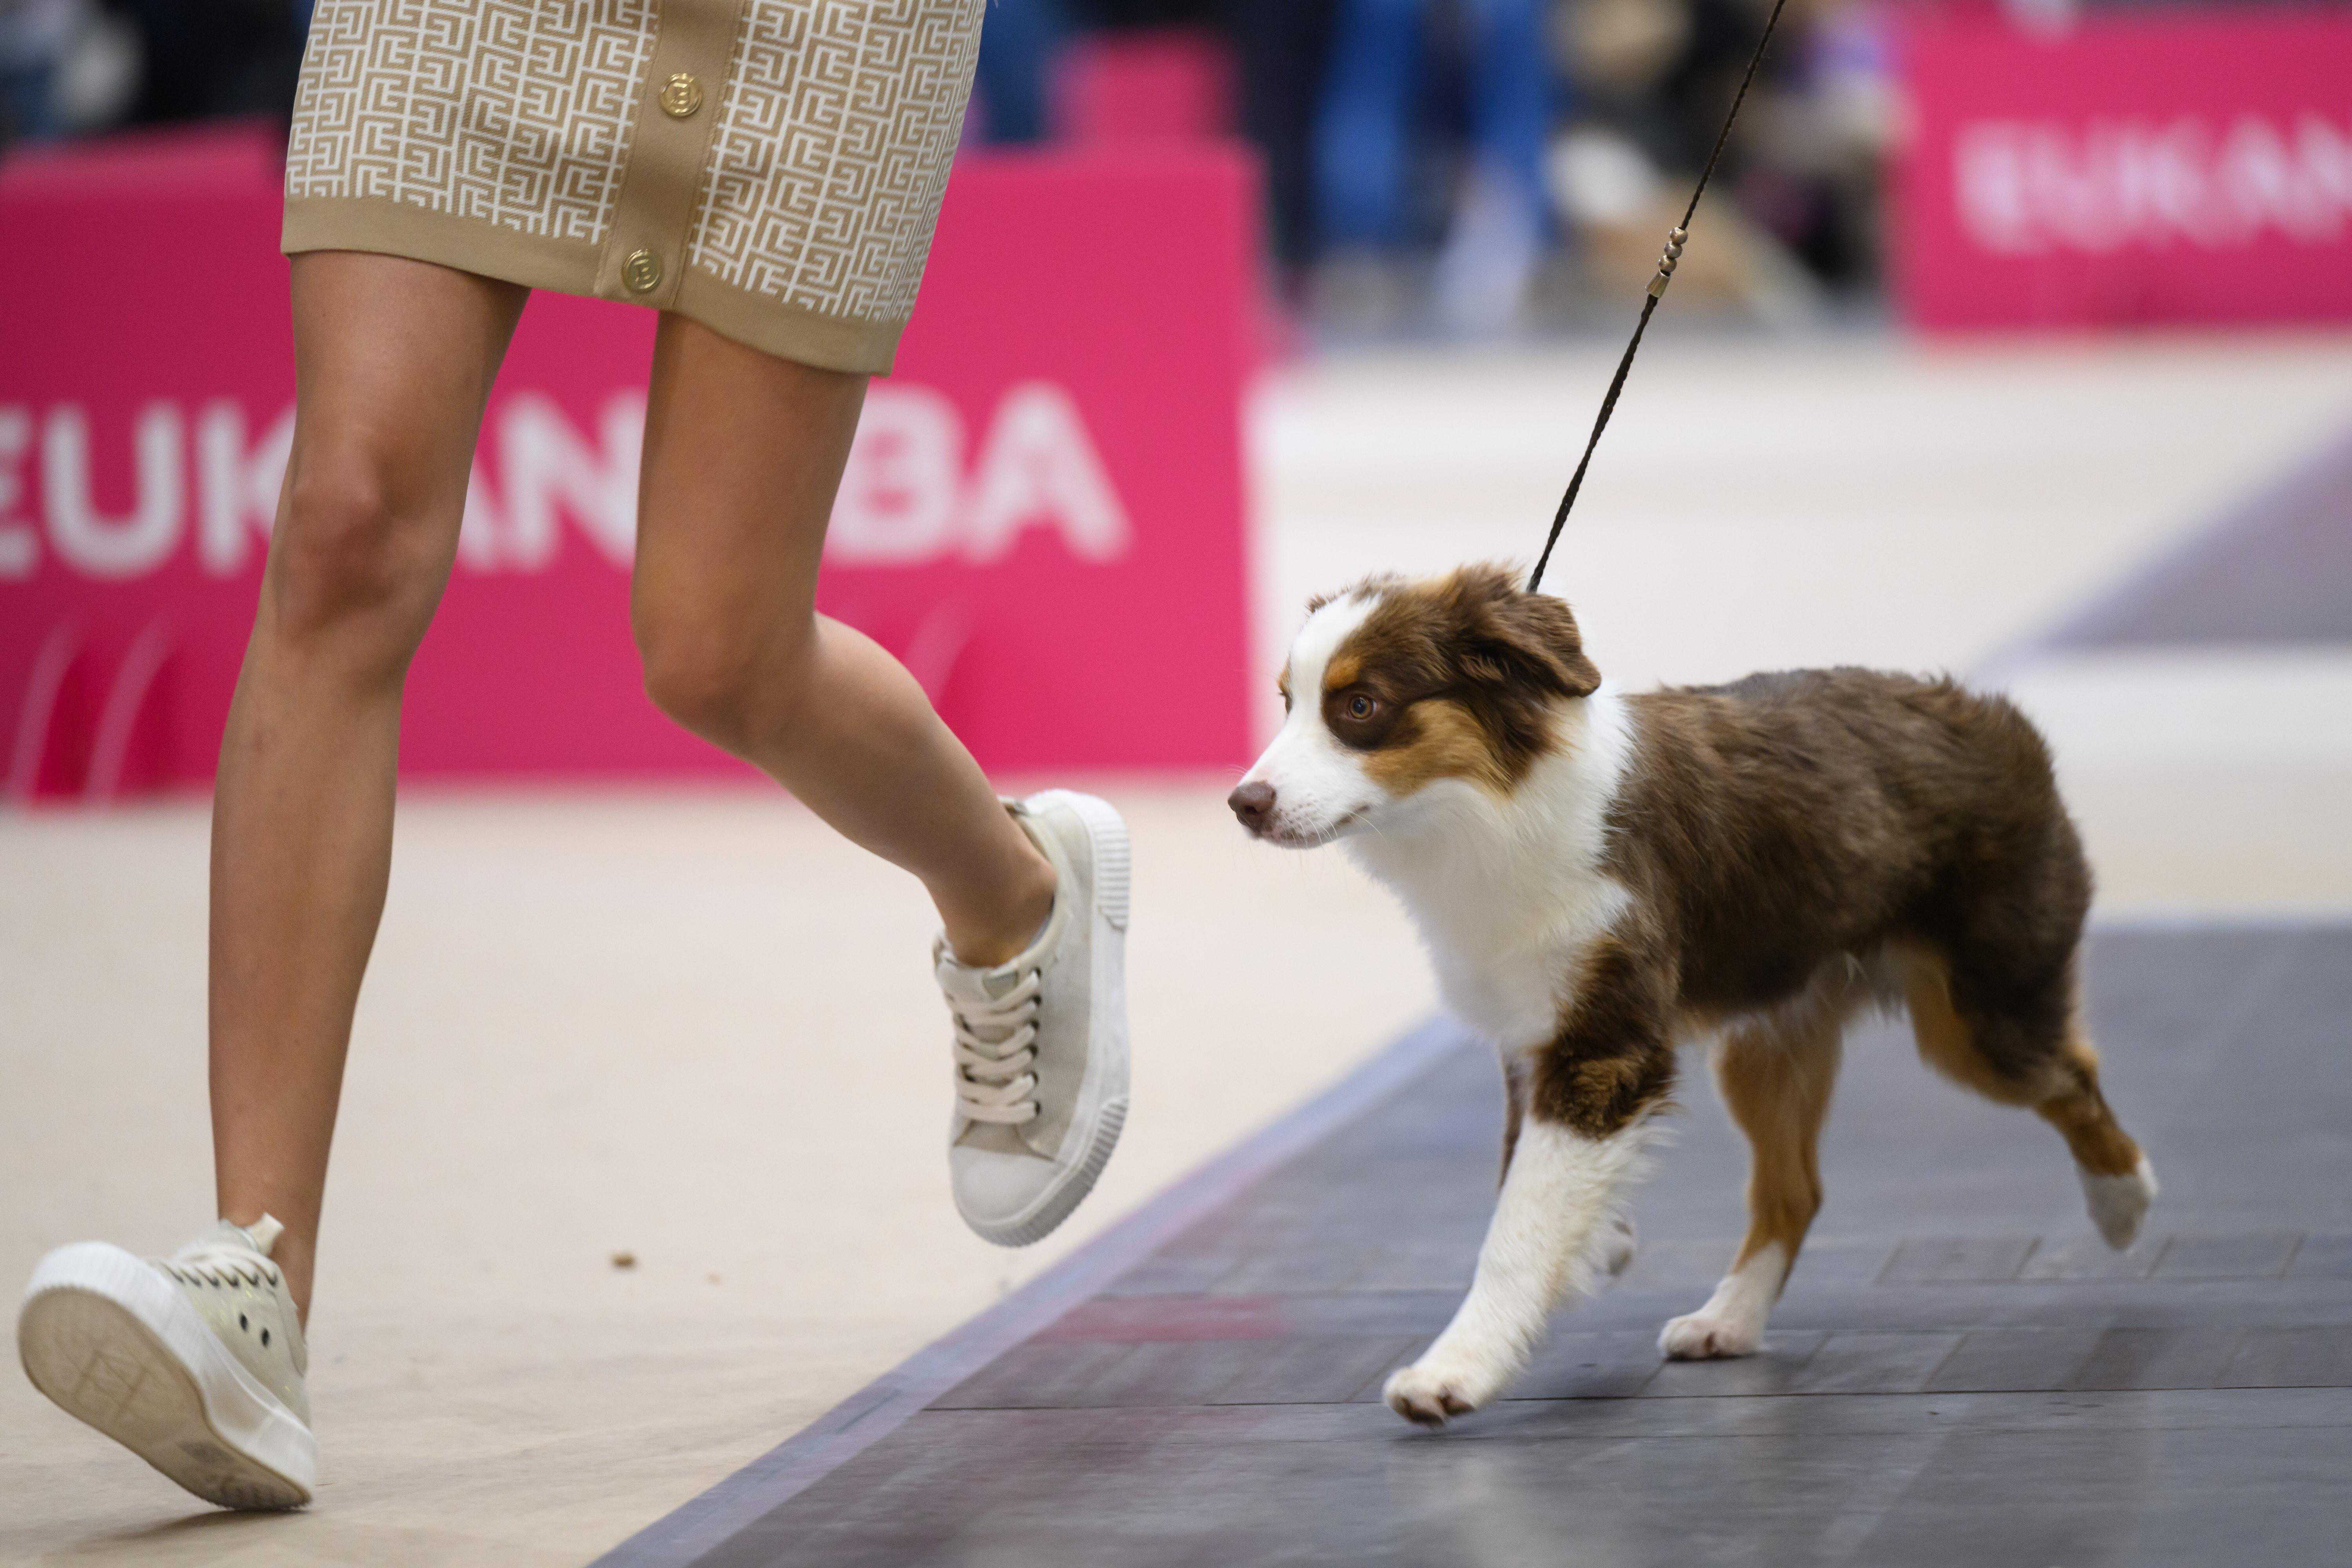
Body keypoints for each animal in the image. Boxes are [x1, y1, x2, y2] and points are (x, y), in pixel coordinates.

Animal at [1229, 564, 2157, 1428]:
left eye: (1361, 705)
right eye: (1287, 703)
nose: (1243, 804)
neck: (1489, 808)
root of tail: (1994, 712)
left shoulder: (1606, 1042)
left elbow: (1516, 1228)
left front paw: (1455, 1369)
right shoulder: (1534, 1032)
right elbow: (1522, 1175)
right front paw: (1600, 1241)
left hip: (1978, 1017)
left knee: (2072, 1074)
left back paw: (2124, 1202)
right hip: (1767, 1038)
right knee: (1796, 1189)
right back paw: (1730, 1320)